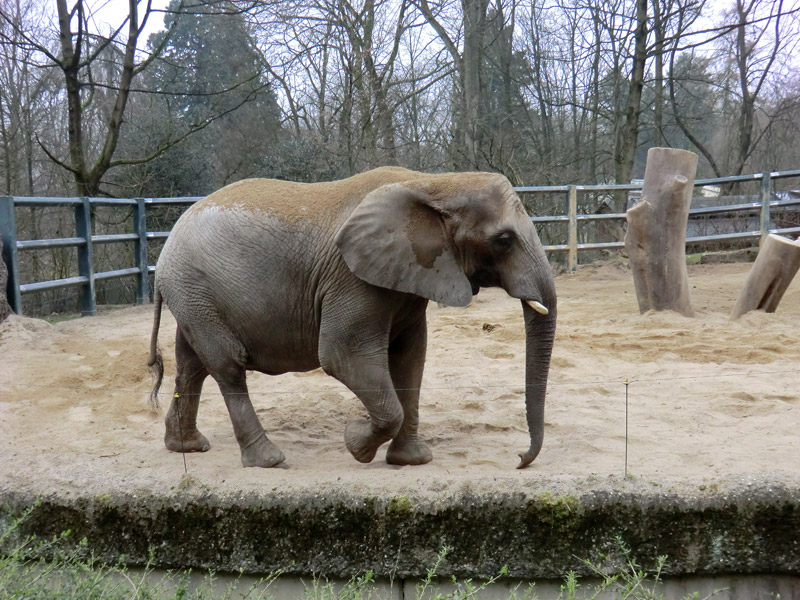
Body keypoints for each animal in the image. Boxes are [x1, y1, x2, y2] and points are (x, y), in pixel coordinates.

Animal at [147, 166, 552, 472]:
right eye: (503, 240)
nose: (519, 459)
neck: (433, 182)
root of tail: (165, 250)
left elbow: (410, 358)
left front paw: (410, 460)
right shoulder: (351, 278)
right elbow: (342, 355)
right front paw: (356, 444)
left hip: (194, 297)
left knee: (192, 364)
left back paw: (187, 446)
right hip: (195, 288)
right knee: (227, 365)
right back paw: (269, 461)